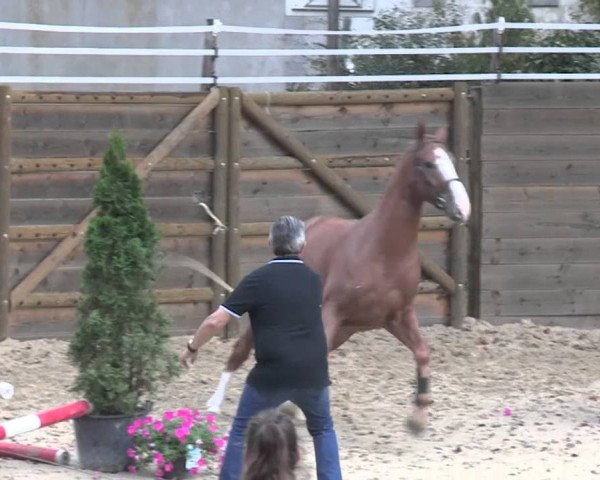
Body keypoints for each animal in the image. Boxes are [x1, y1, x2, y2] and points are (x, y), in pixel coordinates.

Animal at [209, 123, 472, 432]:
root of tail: (310, 226)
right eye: (429, 163)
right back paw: (215, 405)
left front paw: (418, 416)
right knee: (240, 350)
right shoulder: (333, 313)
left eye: (451, 159)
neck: (383, 252)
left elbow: (422, 351)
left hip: (343, 330)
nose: (463, 208)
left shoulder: (398, 316)